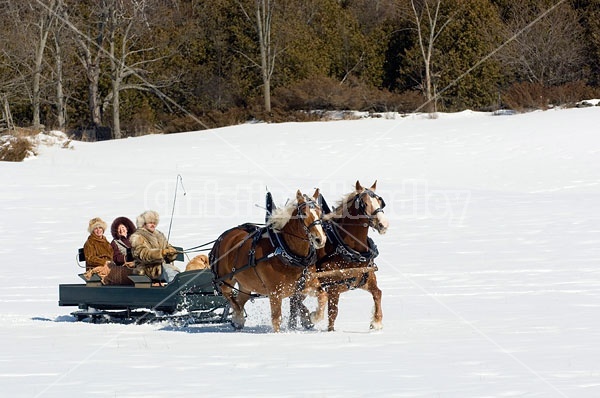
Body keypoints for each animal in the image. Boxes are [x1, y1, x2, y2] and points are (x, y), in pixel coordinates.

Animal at [209, 188, 326, 332]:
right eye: (304, 214)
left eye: (320, 213)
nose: (320, 239)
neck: (285, 251)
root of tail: (223, 237)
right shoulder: (275, 291)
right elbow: (276, 318)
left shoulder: (307, 284)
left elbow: (323, 296)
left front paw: (313, 316)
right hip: (225, 280)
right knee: (230, 298)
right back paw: (239, 317)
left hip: (246, 284)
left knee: (240, 299)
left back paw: (237, 319)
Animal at [290, 182, 390, 332]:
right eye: (364, 204)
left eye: (380, 201)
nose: (383, 224)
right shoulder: (333, 288)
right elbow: (333, 314)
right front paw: (327, 328)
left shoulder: (366, 278)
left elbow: (378, 293)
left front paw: (376, 322)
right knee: (295, 301)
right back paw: (307, 318)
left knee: (295, 302)